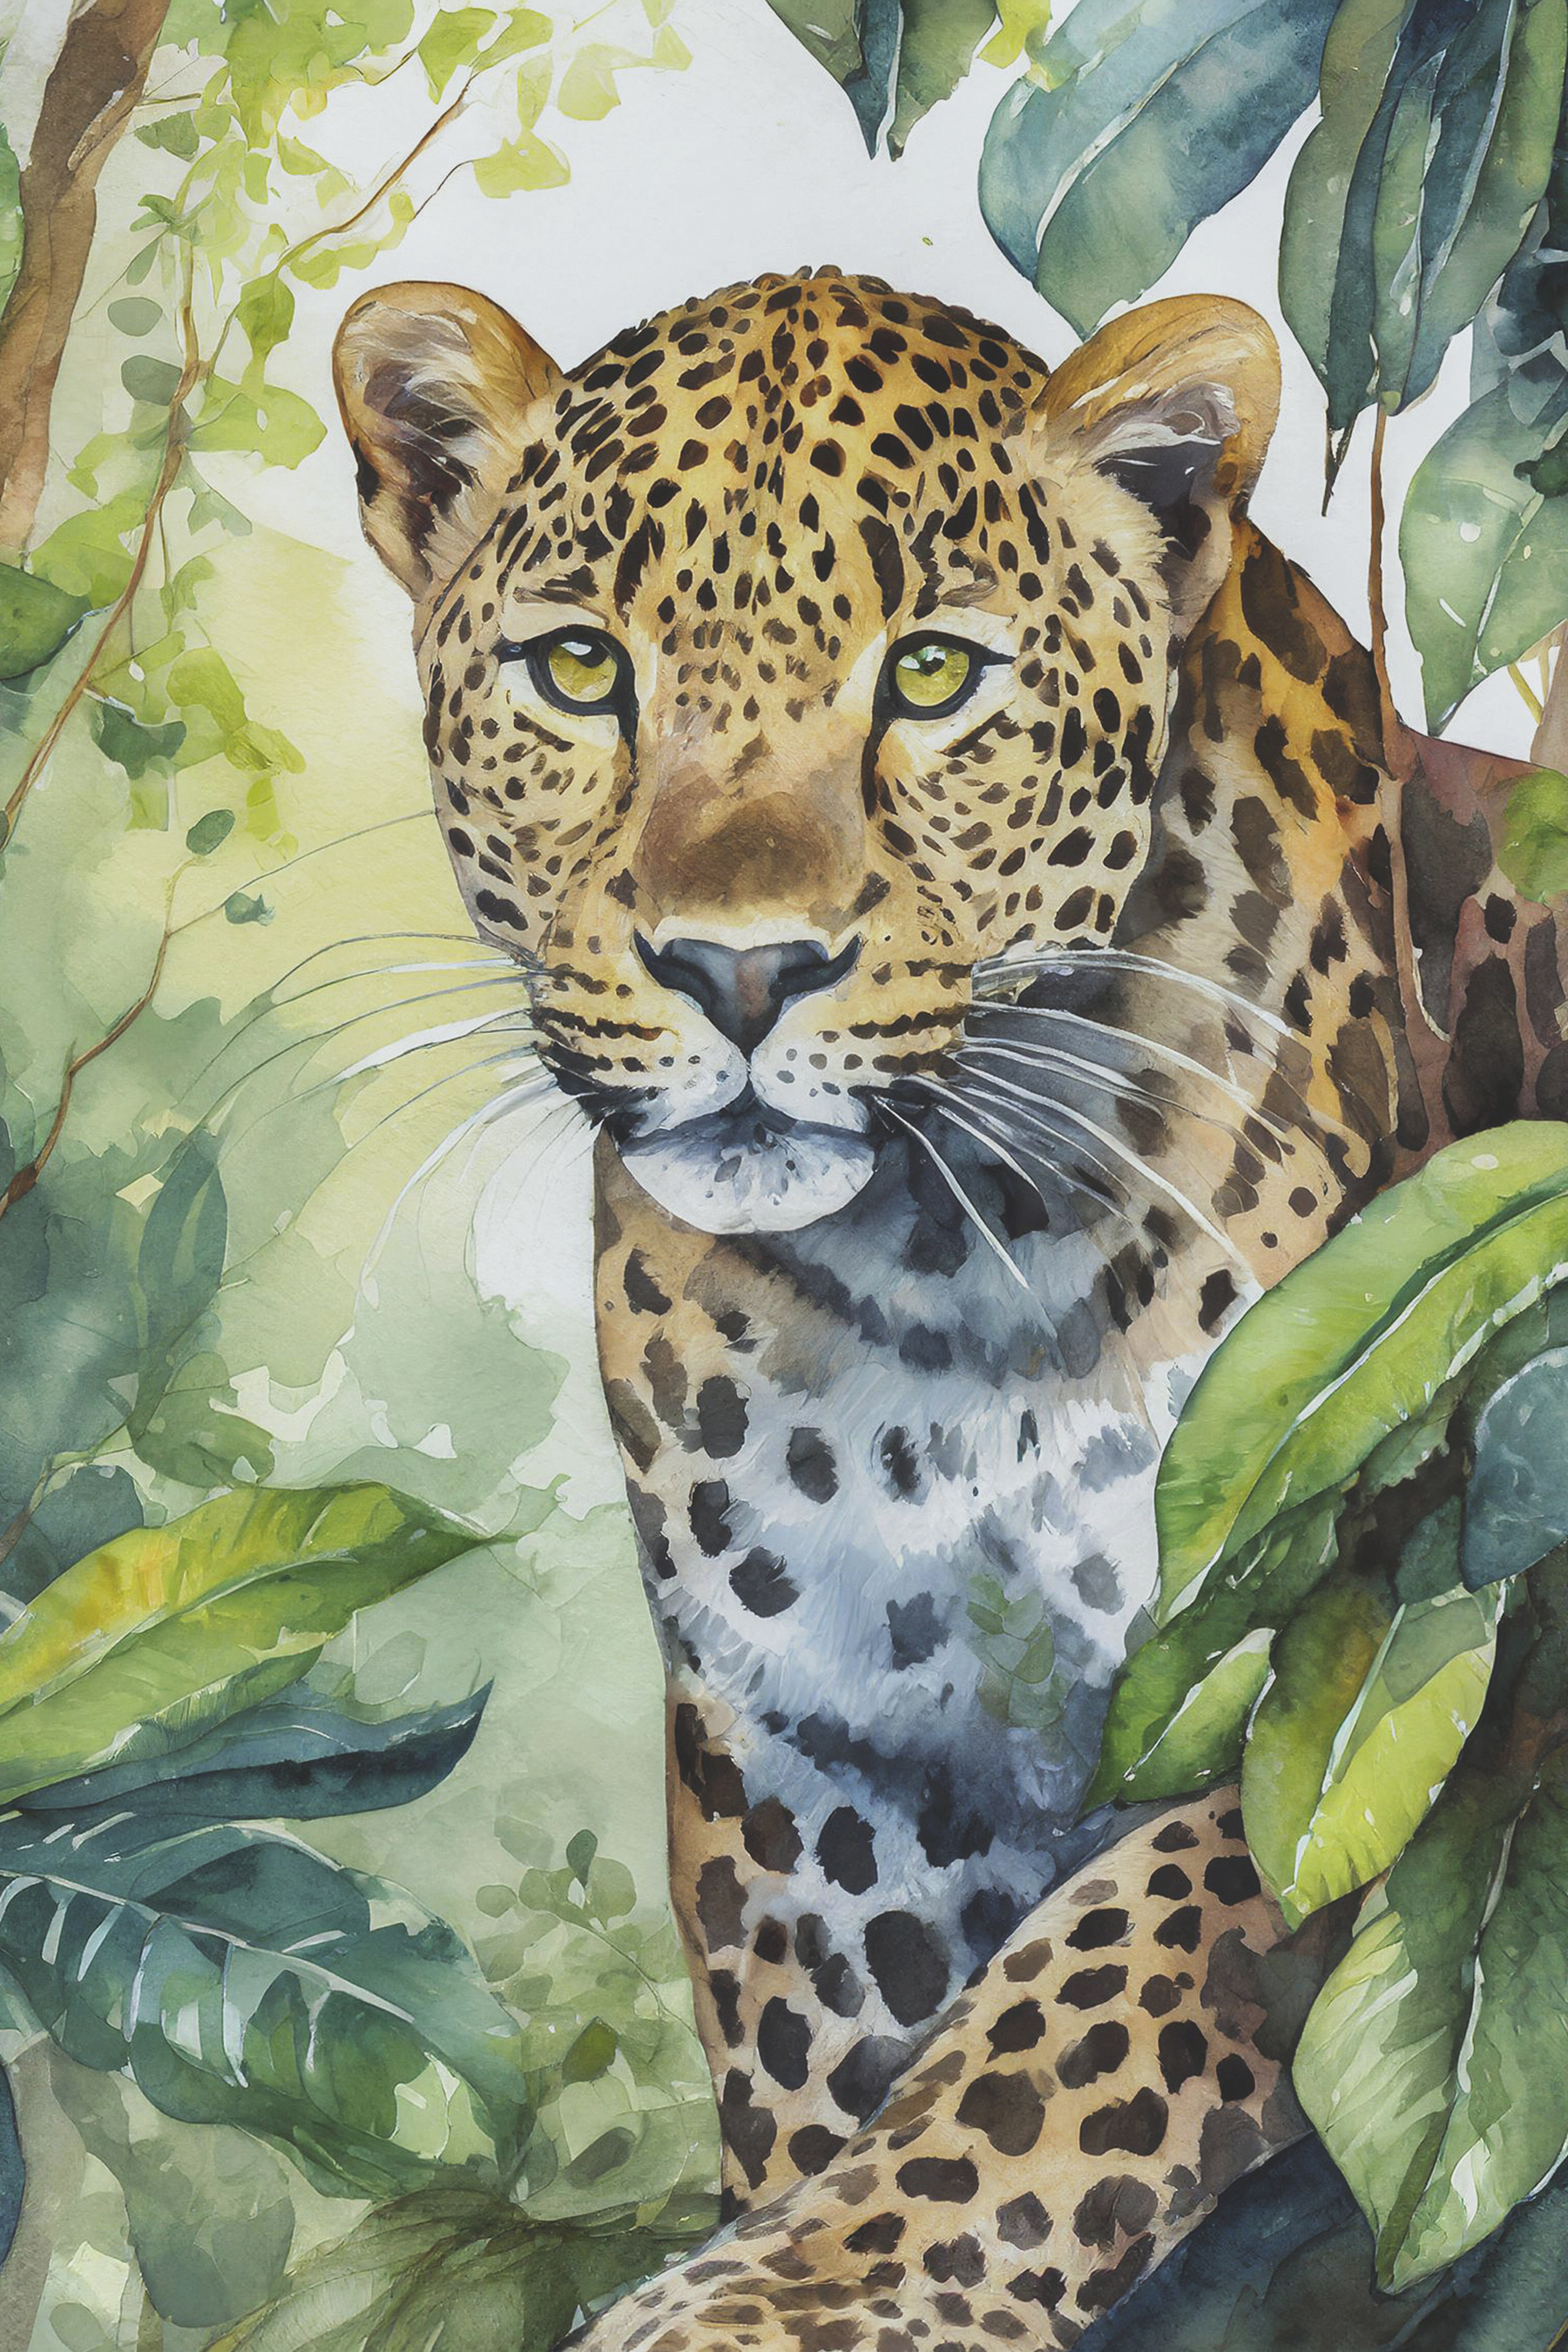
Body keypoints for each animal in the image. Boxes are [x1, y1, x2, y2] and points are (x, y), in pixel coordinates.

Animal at [331, 267, 1568, 2348]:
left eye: (930, 677)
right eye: (580, 670)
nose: (740, 973)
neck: (946, 1273)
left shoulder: (1343, 1660)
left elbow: (1069, 2032)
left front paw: (769, 2297)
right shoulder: (819, 1739)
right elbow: (834, 2057)